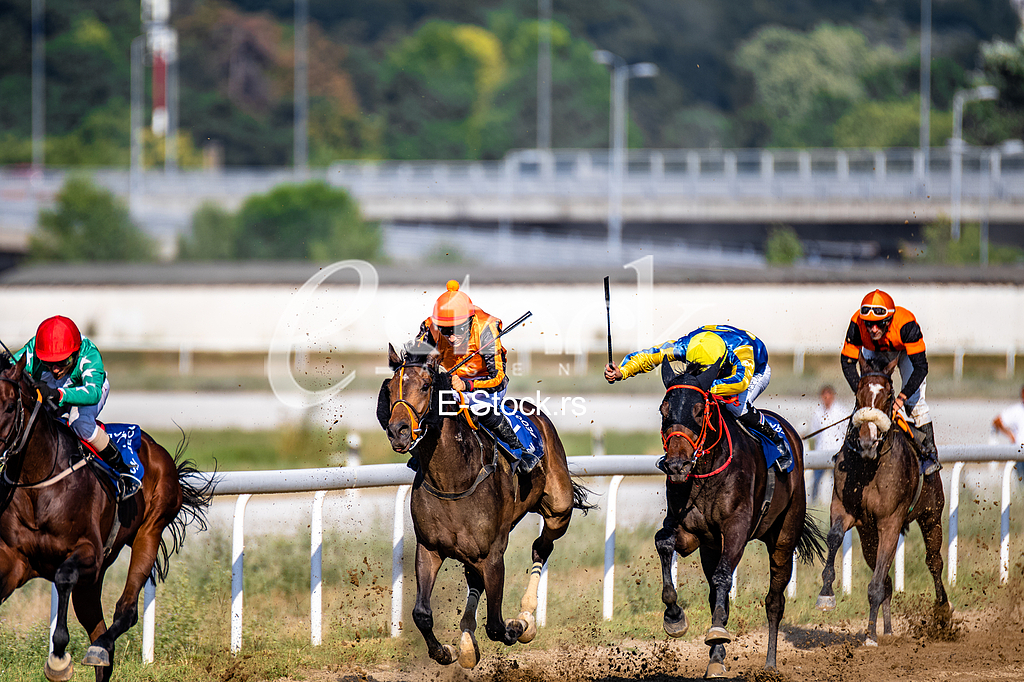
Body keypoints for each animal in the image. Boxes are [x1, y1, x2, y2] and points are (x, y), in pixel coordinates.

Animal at [0, 352, 210, 675]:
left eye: (10, 406)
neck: (39, 485)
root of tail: (154, 446)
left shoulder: (89, 553)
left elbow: (63, 576)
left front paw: (58, 656)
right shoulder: (15, 561)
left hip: (150, 529)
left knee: (125, 613)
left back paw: (99, 647)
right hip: (92, 582)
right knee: (99, 633)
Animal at [378, 342, 593, 667]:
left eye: (426, 386)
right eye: (390, 388)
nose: (398, 430)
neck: (452, 479)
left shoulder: (493, 553)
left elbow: (496, 625)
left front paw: (517, 626)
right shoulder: (430, 548)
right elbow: (422, 614)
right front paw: (446, 651)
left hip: (558, 509)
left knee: (541, 547)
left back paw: (526, 616)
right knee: (475, 579)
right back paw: (467, 641)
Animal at [655, 360, 823, 675]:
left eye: (700, 410)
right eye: (664, 409)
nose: (677, 465)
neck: (706, 472)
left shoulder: (737, 528)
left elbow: (724, 576)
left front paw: (716, 633)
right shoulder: (691, 532)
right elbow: (664, 543)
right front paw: (674, 617)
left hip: (785, 535)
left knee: (774, 600)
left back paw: (769, 663)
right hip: (711, 547)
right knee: (715, 592)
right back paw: (716, 657)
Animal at [815, 352, 950, 647]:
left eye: (888, 396)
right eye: (859, 393)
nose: (867, 442)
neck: (870, 466)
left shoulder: (891, 522)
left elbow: (876, 583)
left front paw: (869, 637)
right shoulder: (843, 509)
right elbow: (834, 537)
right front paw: (826, 593)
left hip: (931, 515)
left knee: (934, 562)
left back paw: (943, 614)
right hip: (868, 535)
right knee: (885, 574)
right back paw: (885, 629)